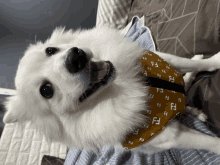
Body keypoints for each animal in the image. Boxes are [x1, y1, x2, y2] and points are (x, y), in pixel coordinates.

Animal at [2, 25, 220, 153]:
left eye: (50, 50)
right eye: (46, 90)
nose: (74, 58)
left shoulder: (164, 60)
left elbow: (191, 64)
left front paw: (214, 60)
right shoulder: (171, 137)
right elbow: (211, 143)